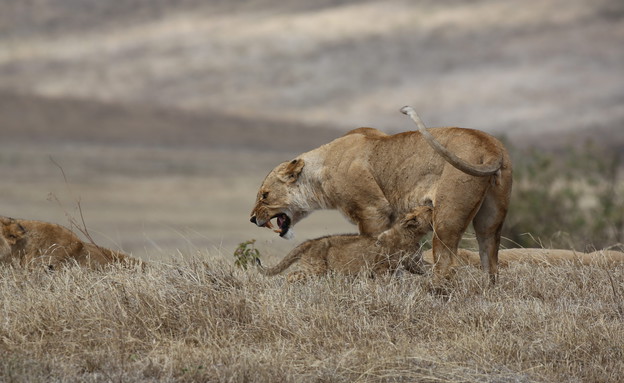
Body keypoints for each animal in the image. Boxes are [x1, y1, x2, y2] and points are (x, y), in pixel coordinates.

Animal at [256, 206, 432, 284]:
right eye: (429, 210)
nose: (432, 204)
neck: (412, 235)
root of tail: (310, 242)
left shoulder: (415, 263)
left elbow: (427, 268)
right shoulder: (381, 267)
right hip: (318, 270)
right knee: (293, 275)